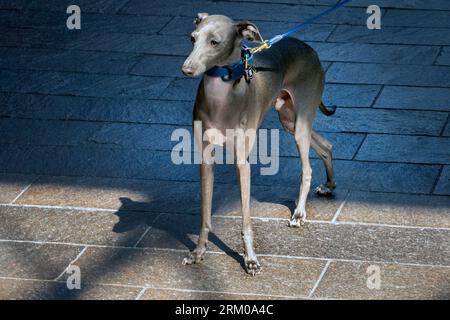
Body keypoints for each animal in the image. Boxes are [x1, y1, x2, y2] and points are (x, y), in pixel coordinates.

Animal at [181, 13, 336, 276]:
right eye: (192, 38)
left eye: (214, 42)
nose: (187, 69)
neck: (221, 94)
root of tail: (307, 48)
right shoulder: (205, 160)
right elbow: (205, 217)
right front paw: (199, 252)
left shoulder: (242, 163)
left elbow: (246, 220)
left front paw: (250, 259)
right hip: (288, 119)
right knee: (326, 145)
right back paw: (329, 185)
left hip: (300, 123)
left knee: (307, 168)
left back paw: (299, 213)